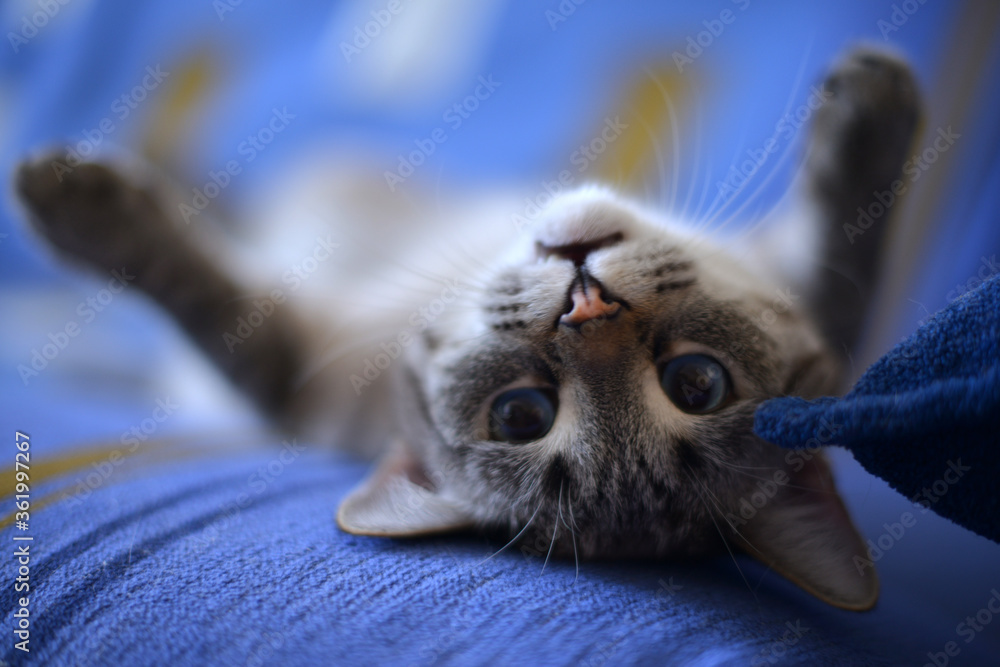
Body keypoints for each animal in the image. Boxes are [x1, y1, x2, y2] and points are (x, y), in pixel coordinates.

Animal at [15, 45, 920, 612]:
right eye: (522, 414)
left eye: (696, 382)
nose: (584, 301)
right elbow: (846, 250)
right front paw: (877, 108)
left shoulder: (290, 362)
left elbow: (199, 291)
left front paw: (75, 207)